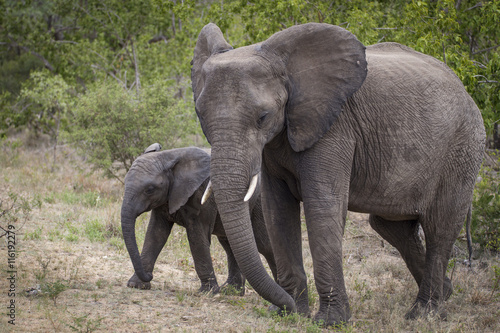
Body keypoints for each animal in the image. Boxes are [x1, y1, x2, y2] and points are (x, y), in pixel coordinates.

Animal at [121, 145, 278, 294]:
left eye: (149, 190)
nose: (150, 276)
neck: (168, 156)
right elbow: (155, 234)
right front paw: (137, 285)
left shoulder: (202, 194)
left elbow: (197, 238)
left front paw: (207, 292)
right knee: (231, 244)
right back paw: (231, 291)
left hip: (259, 202)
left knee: (265, 245)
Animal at [190, 22, 484, 324]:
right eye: (200, 114)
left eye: (263, 117)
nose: (285, 305)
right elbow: (278, 211)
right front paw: (288, 313)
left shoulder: (335, 126)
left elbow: (322, 207)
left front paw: (329, 321)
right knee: (392, 227)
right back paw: (446, 293)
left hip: (462, 148)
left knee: (440, 228)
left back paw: (423, 313)